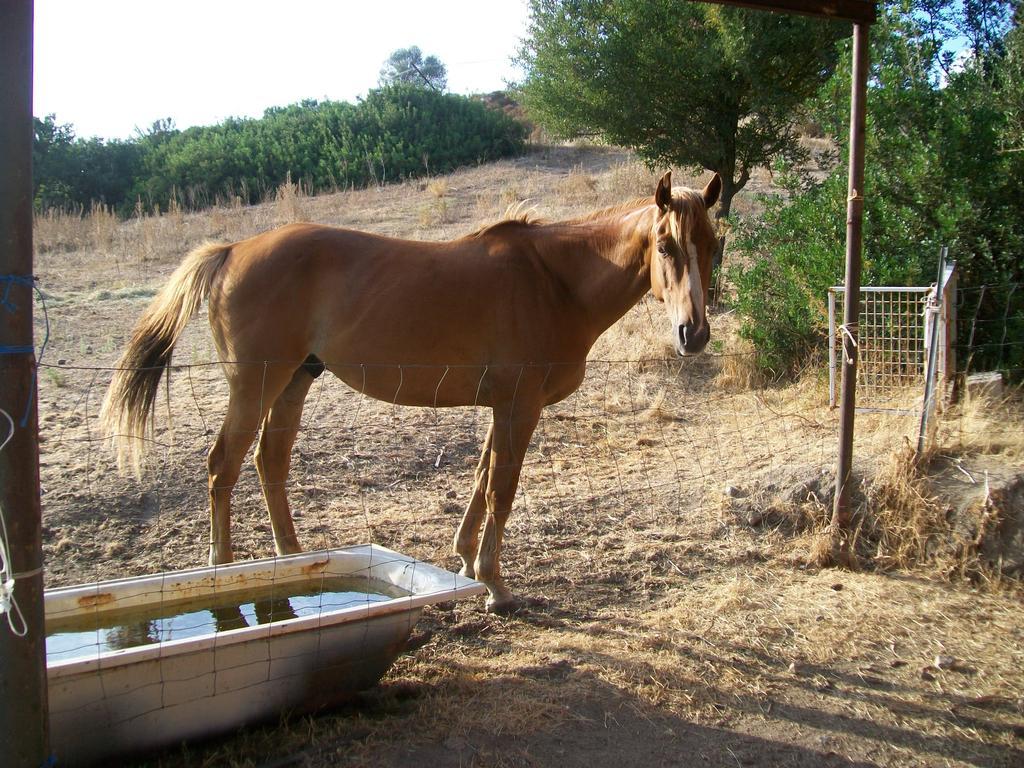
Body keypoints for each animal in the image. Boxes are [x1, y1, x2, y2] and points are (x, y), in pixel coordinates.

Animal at [99, 173, 716, 614]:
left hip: (294, 381)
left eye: (714, 244)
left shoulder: (503, 407)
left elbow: (482, 477)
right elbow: (502, 489)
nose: (694, 333)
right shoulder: (520, 407)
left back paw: (293, 561)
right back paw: (227, 574)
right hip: (255, 386)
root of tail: (233, 249)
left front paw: (466, 561)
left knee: (269, 461)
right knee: (222, 467)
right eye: (665, 245)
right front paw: (495, 585)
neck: (552, 280)